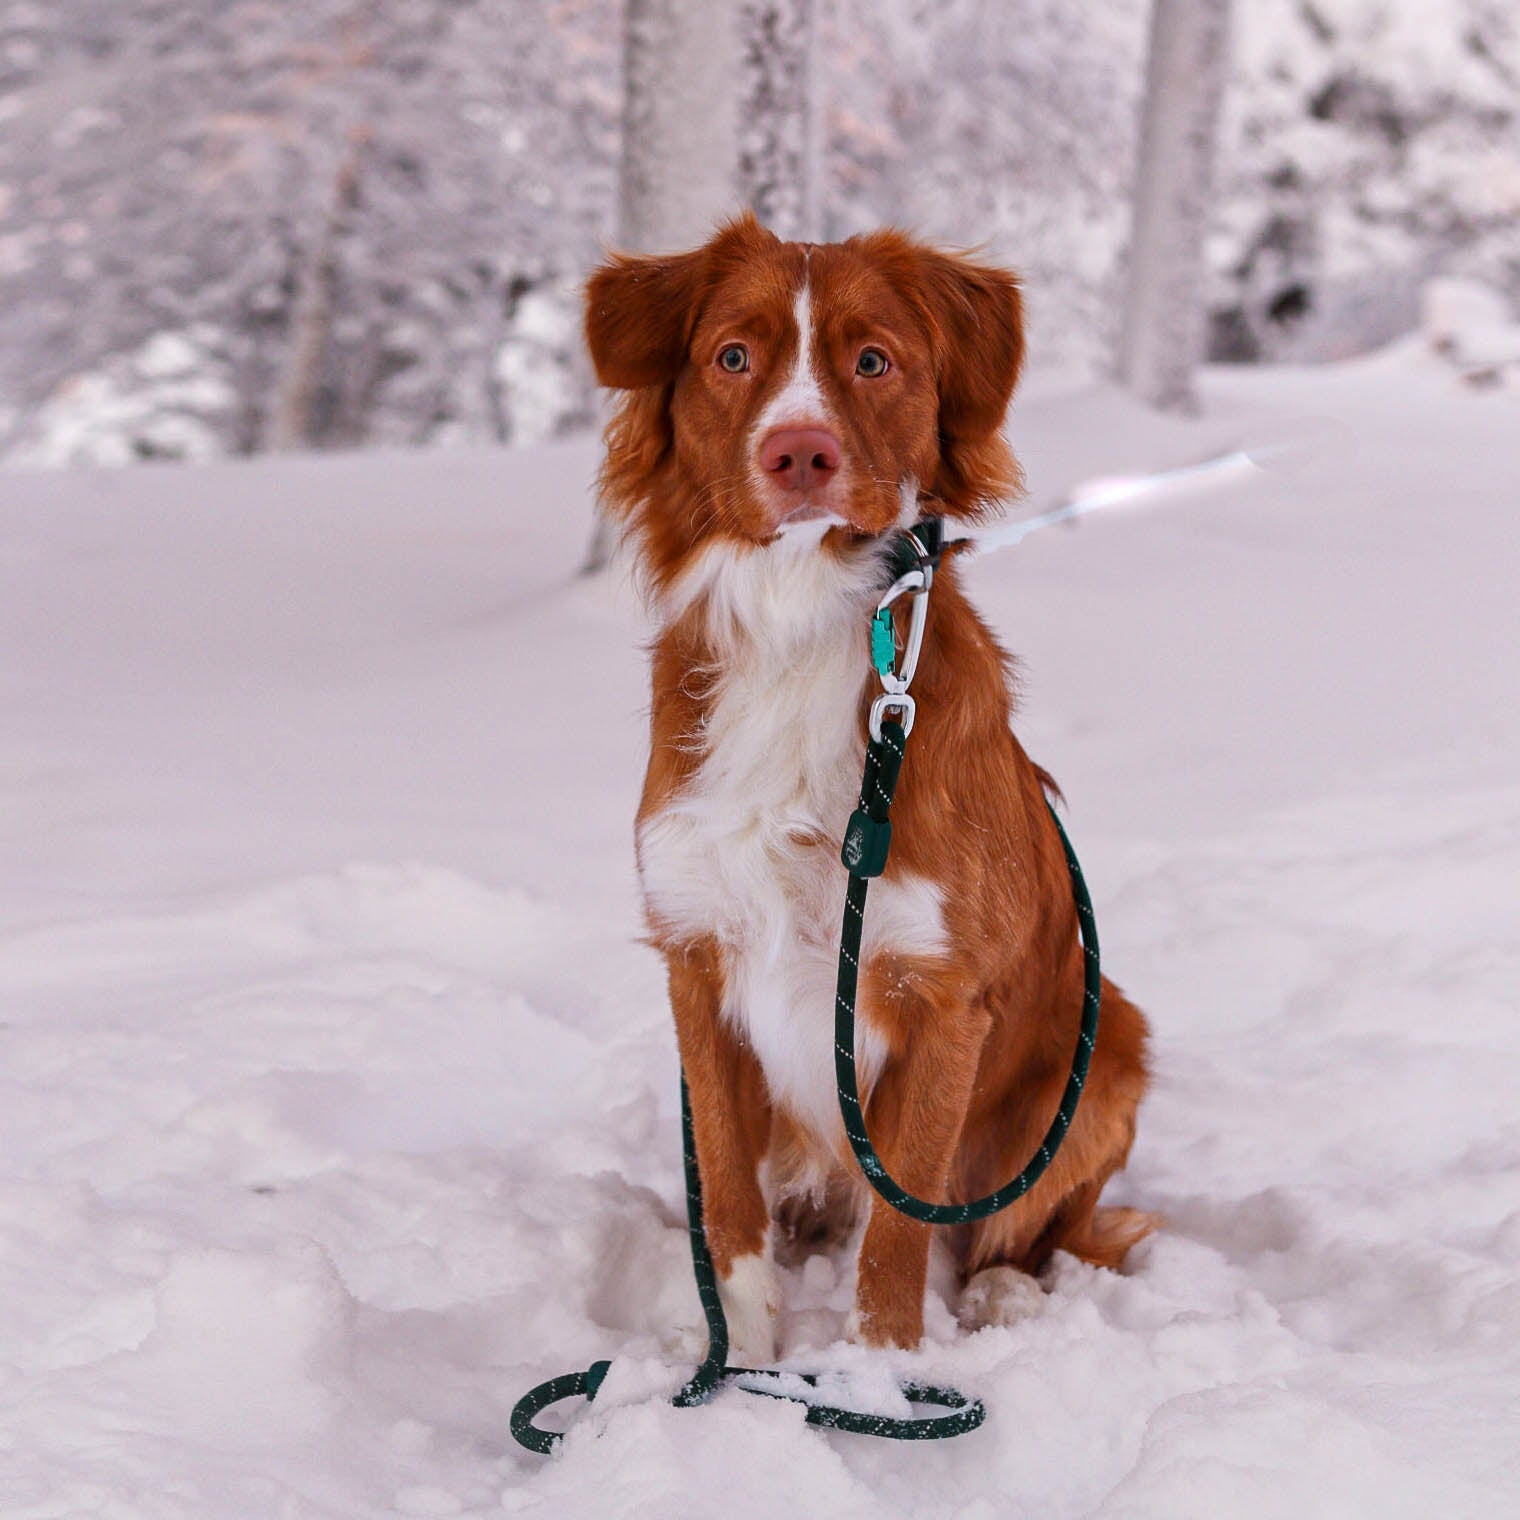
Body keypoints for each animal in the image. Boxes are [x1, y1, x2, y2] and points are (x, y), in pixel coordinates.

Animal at [580, 211, 1149, 1355]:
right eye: (733, 357)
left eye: (872, 360)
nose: (799, 451)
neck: (797, 618)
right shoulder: (697, 958)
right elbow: (726, 1204)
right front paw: (737, 1362)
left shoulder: (939, 992)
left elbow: (895, 1235)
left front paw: (875, 1374)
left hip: (1111, 1047)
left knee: (1032, 1228)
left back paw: (1005, 1295)